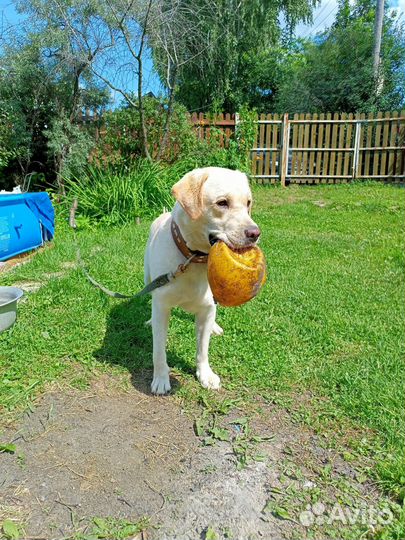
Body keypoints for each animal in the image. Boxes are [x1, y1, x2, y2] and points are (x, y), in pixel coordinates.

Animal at [144, 167, 260, 394]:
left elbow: (203, 349)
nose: (255, 233)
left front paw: (205, 375)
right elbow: (158, 349)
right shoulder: (162, 304)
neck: (193, 258)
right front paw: (161, 378)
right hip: (148, 277)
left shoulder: (206, 309)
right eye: (222, 202)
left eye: (248, 203)